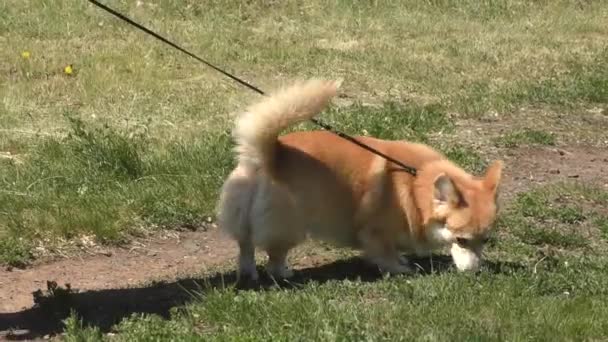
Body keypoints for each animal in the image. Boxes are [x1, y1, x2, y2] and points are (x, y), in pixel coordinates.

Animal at [216, 79, 502, 280]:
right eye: (461, 240)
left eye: (485, 240)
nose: (475, 273)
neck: (416, 185)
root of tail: (270, 154)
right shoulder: (376, 232)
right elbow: (385, 253)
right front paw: (400, 268)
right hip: (288, 226)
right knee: (274, 257)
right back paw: (284, 273)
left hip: (243, 217)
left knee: (245, 246)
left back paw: (248, 273)